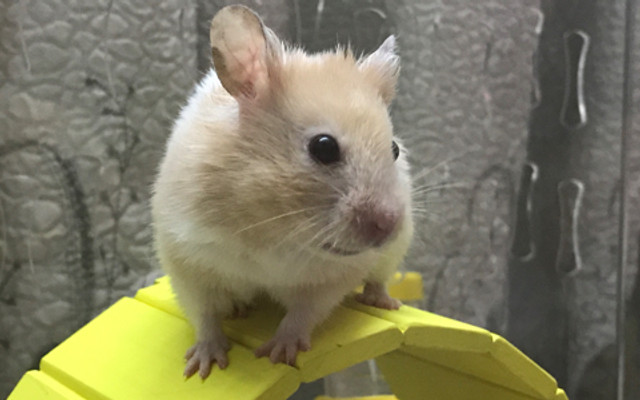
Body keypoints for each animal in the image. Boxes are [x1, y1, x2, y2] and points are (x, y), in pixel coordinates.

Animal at [151, 5, 413, 379]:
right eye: (323, 147)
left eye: (393, 149)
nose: (388, 225)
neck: (271, 223)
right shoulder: (186, 260)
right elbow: (203, 314)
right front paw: (203, 367)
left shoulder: (329, 280)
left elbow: (302, 315)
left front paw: (276, 354)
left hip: (394, 253)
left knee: (378, 280)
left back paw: (386, 302)